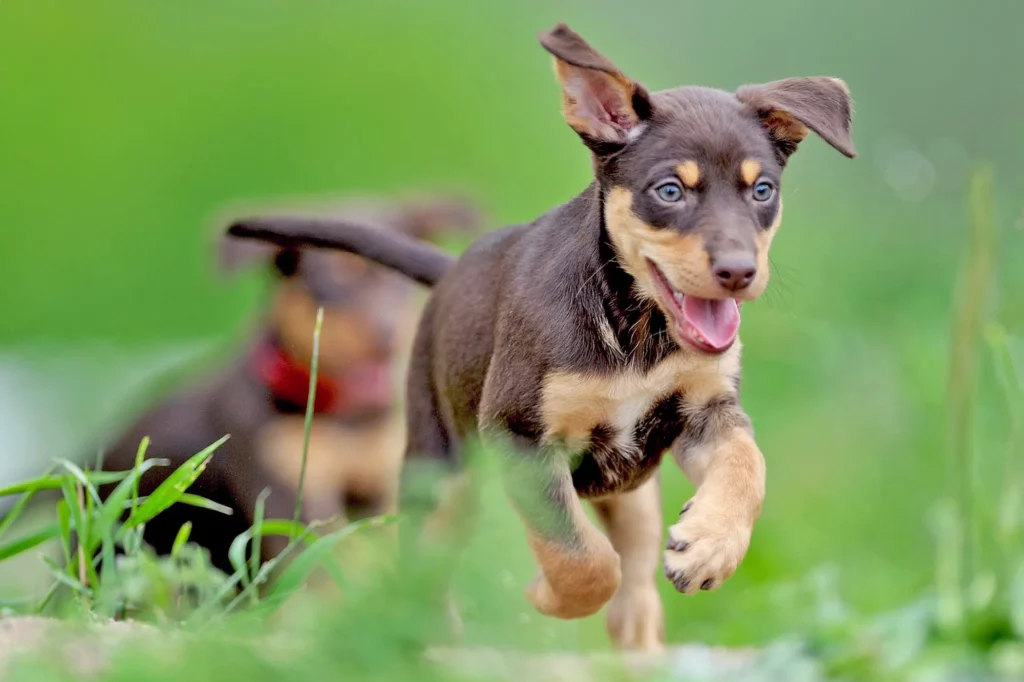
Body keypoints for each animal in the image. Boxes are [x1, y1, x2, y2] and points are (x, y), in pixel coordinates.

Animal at [97, 191, 481, 573]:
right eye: (334, 281)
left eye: (399, 285)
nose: (386, 336)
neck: (341, 413)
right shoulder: (288, 488)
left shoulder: (379, 481)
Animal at [226, 22, 856, 647]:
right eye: (670, 191)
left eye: (762, 190)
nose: (739, 272)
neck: (633, 332)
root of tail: (450, 271)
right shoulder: (520, 438)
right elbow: (580, 557)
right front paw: (548, 597)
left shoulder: (706, 411)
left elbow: (747, 465)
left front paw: (710, 548)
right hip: (440, 471)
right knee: (428, 569)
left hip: (631, 492)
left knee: (636, 565)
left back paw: (641, 636)